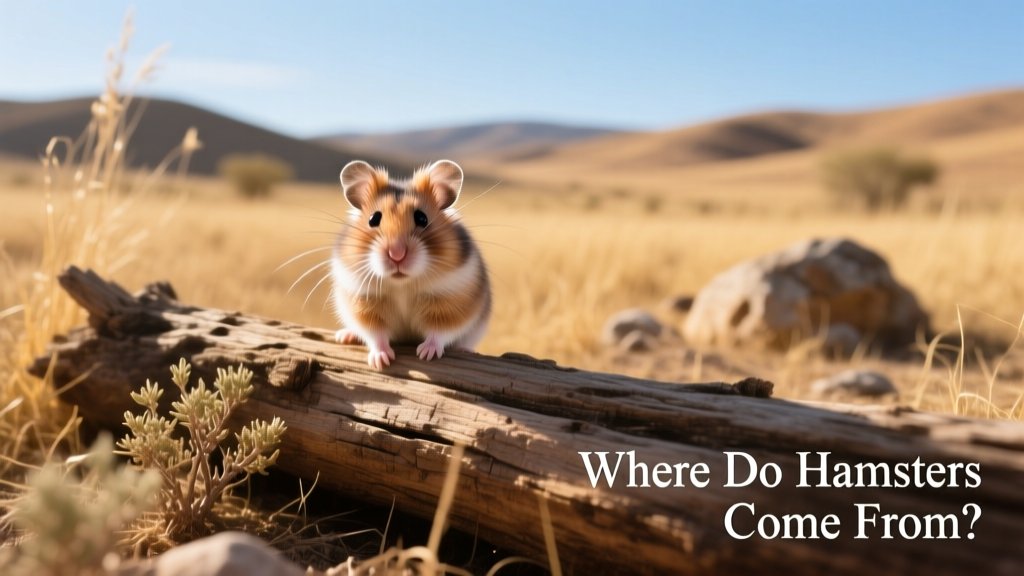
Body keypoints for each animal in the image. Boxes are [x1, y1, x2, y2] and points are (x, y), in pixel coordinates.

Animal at [330, 159, 492, 370]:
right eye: (373, 219)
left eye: (422, 218)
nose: (397, 254)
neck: (402, 284)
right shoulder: (364, 304)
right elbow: (376, 335)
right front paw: (381, 362)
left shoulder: (451, 305)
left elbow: (439, 332)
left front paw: (426, 354)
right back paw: (344, 336)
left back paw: (465, 350)